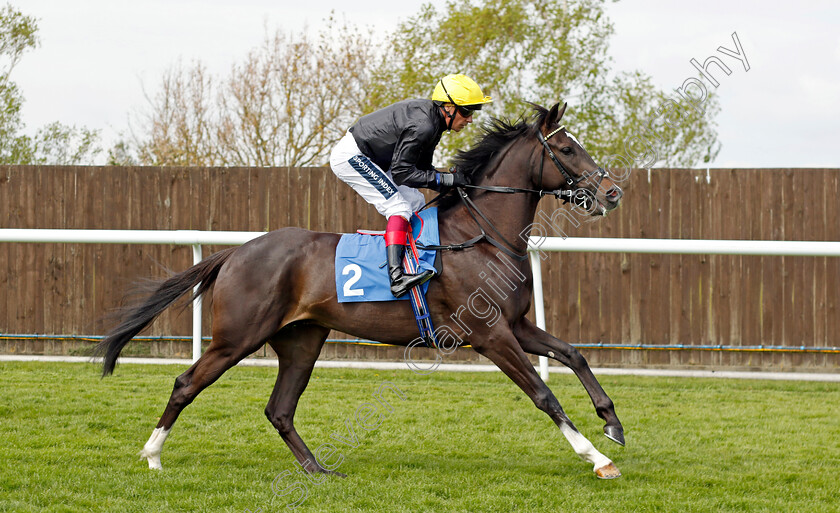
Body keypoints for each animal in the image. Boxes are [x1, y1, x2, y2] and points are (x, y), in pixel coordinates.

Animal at [97, 102, 624, 478]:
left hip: (302, 340)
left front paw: (612, 424)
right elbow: (543, 394)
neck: (481, 235)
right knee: (186, 384)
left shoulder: (516, 325)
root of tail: (237, 251)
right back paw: (152, 455)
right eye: (568, 149)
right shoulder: (490, 335)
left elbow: (573, 354)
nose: (612, 192)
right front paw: (596, 457)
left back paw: (317, 469)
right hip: (236, 337)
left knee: (279, 409)